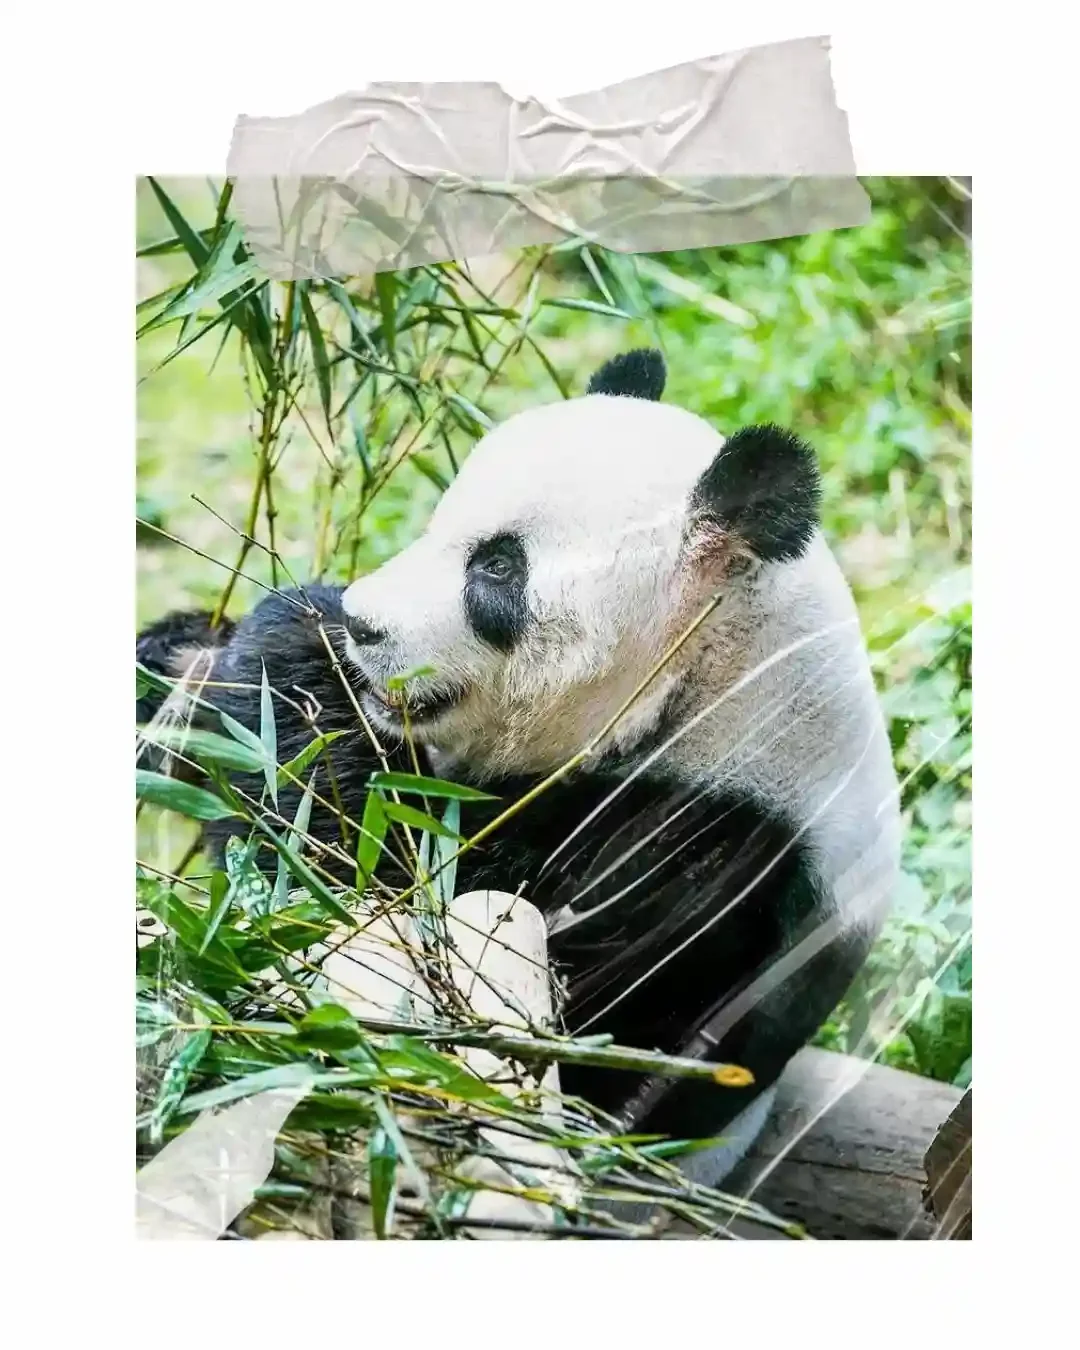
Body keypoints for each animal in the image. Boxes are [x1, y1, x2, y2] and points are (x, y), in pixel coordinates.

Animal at [137, 348, 901, 1197]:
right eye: (437, 525)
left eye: (498, 567)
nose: (365, 624)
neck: (717, 680)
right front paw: (179, 654)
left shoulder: (702, 856)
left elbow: (396, 919)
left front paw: (292, 638)